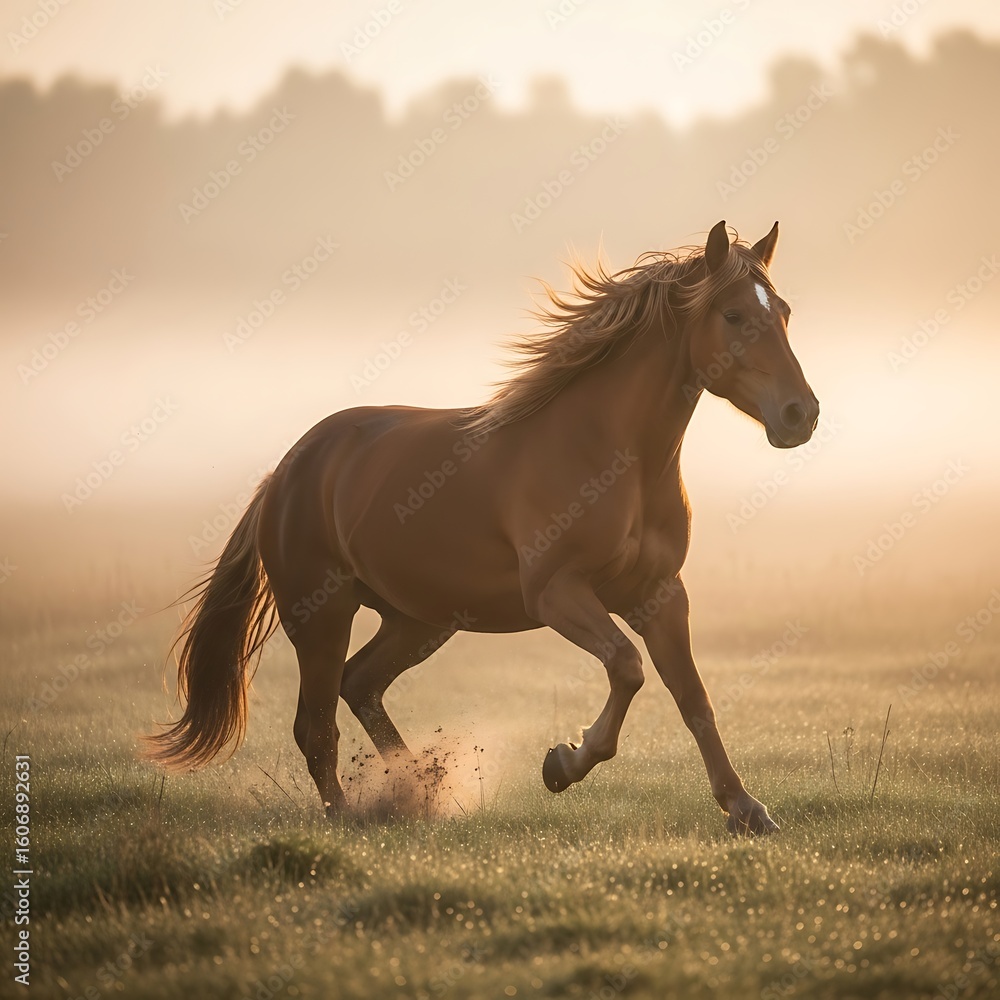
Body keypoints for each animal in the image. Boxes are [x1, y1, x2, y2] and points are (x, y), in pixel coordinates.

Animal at [144, 220, 819, 836]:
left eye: (783, 312)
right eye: (732, 314)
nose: (800, 414)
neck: (609, 453)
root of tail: (286, 472)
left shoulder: (660, 594)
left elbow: (694, 699)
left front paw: (747, 810)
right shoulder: (557, 592)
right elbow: (627, 667)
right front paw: (563, 763)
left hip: (417, 619)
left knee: (358, 685)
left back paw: (418, 790)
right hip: (321, 615)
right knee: (316, 723)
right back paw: (351, 813)